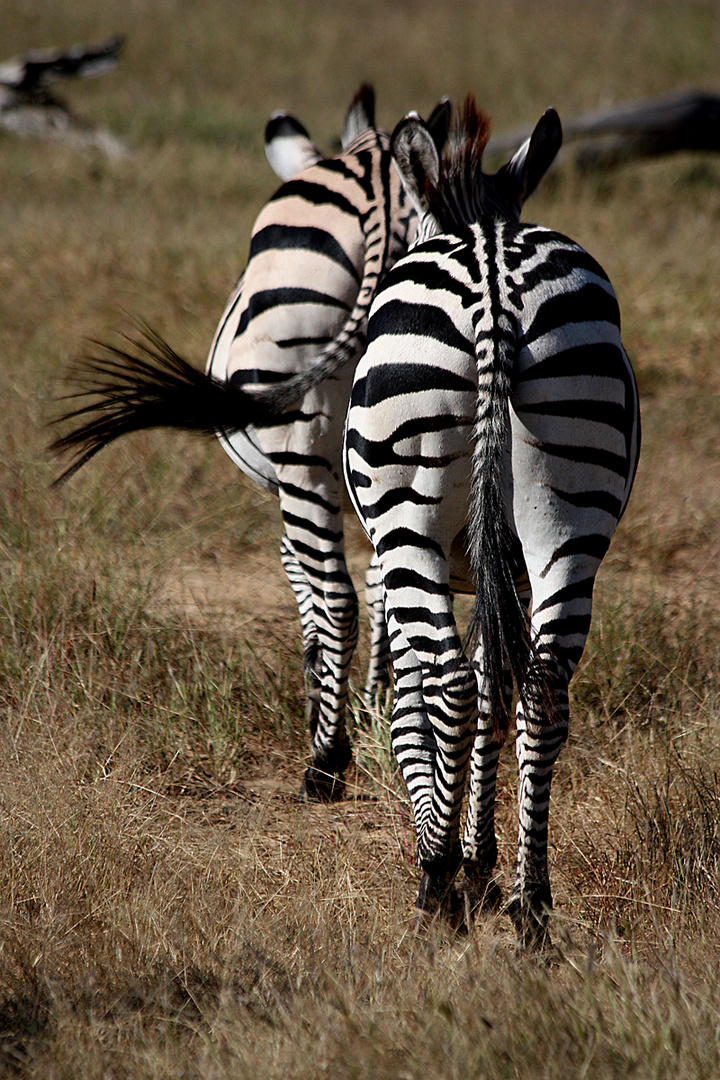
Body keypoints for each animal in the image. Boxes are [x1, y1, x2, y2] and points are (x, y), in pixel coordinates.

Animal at [52, 86, 451, 803]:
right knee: (378, 595)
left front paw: (324, 709)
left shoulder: (293, 499)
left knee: (336, 598)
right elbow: (385, 591)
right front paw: (373, 709)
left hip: (300, 450)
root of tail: (381, 180)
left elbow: (310, 601)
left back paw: (324, 763)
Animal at [343, 99, 643, 946]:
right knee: (543, 689)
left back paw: (435, 882)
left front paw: (450, 852)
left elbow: (421, 702)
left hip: (407, 520)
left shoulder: (399, 571)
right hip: (570, 508)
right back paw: (531, 902)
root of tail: (494, 283)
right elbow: (497, 690)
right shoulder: (503, 576)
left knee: (445, 681)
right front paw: (483, 856)